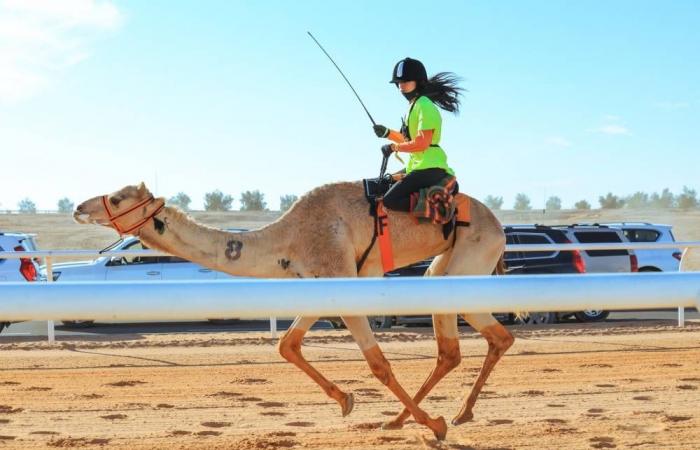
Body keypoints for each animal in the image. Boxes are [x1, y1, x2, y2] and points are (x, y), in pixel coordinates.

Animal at [74, 180, 516, 440]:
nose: (79, 206)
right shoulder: (319, 285)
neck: (287, 238)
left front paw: (433, 425)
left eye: (117, 196)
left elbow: (378, 364)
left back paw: (439, 417)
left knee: (477, 342)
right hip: (443, 272)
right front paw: (346, 401)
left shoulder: (342, 280)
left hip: (467, 262)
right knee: (471, 345)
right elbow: (287, 344)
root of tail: (499, 227)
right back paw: (434, 416)